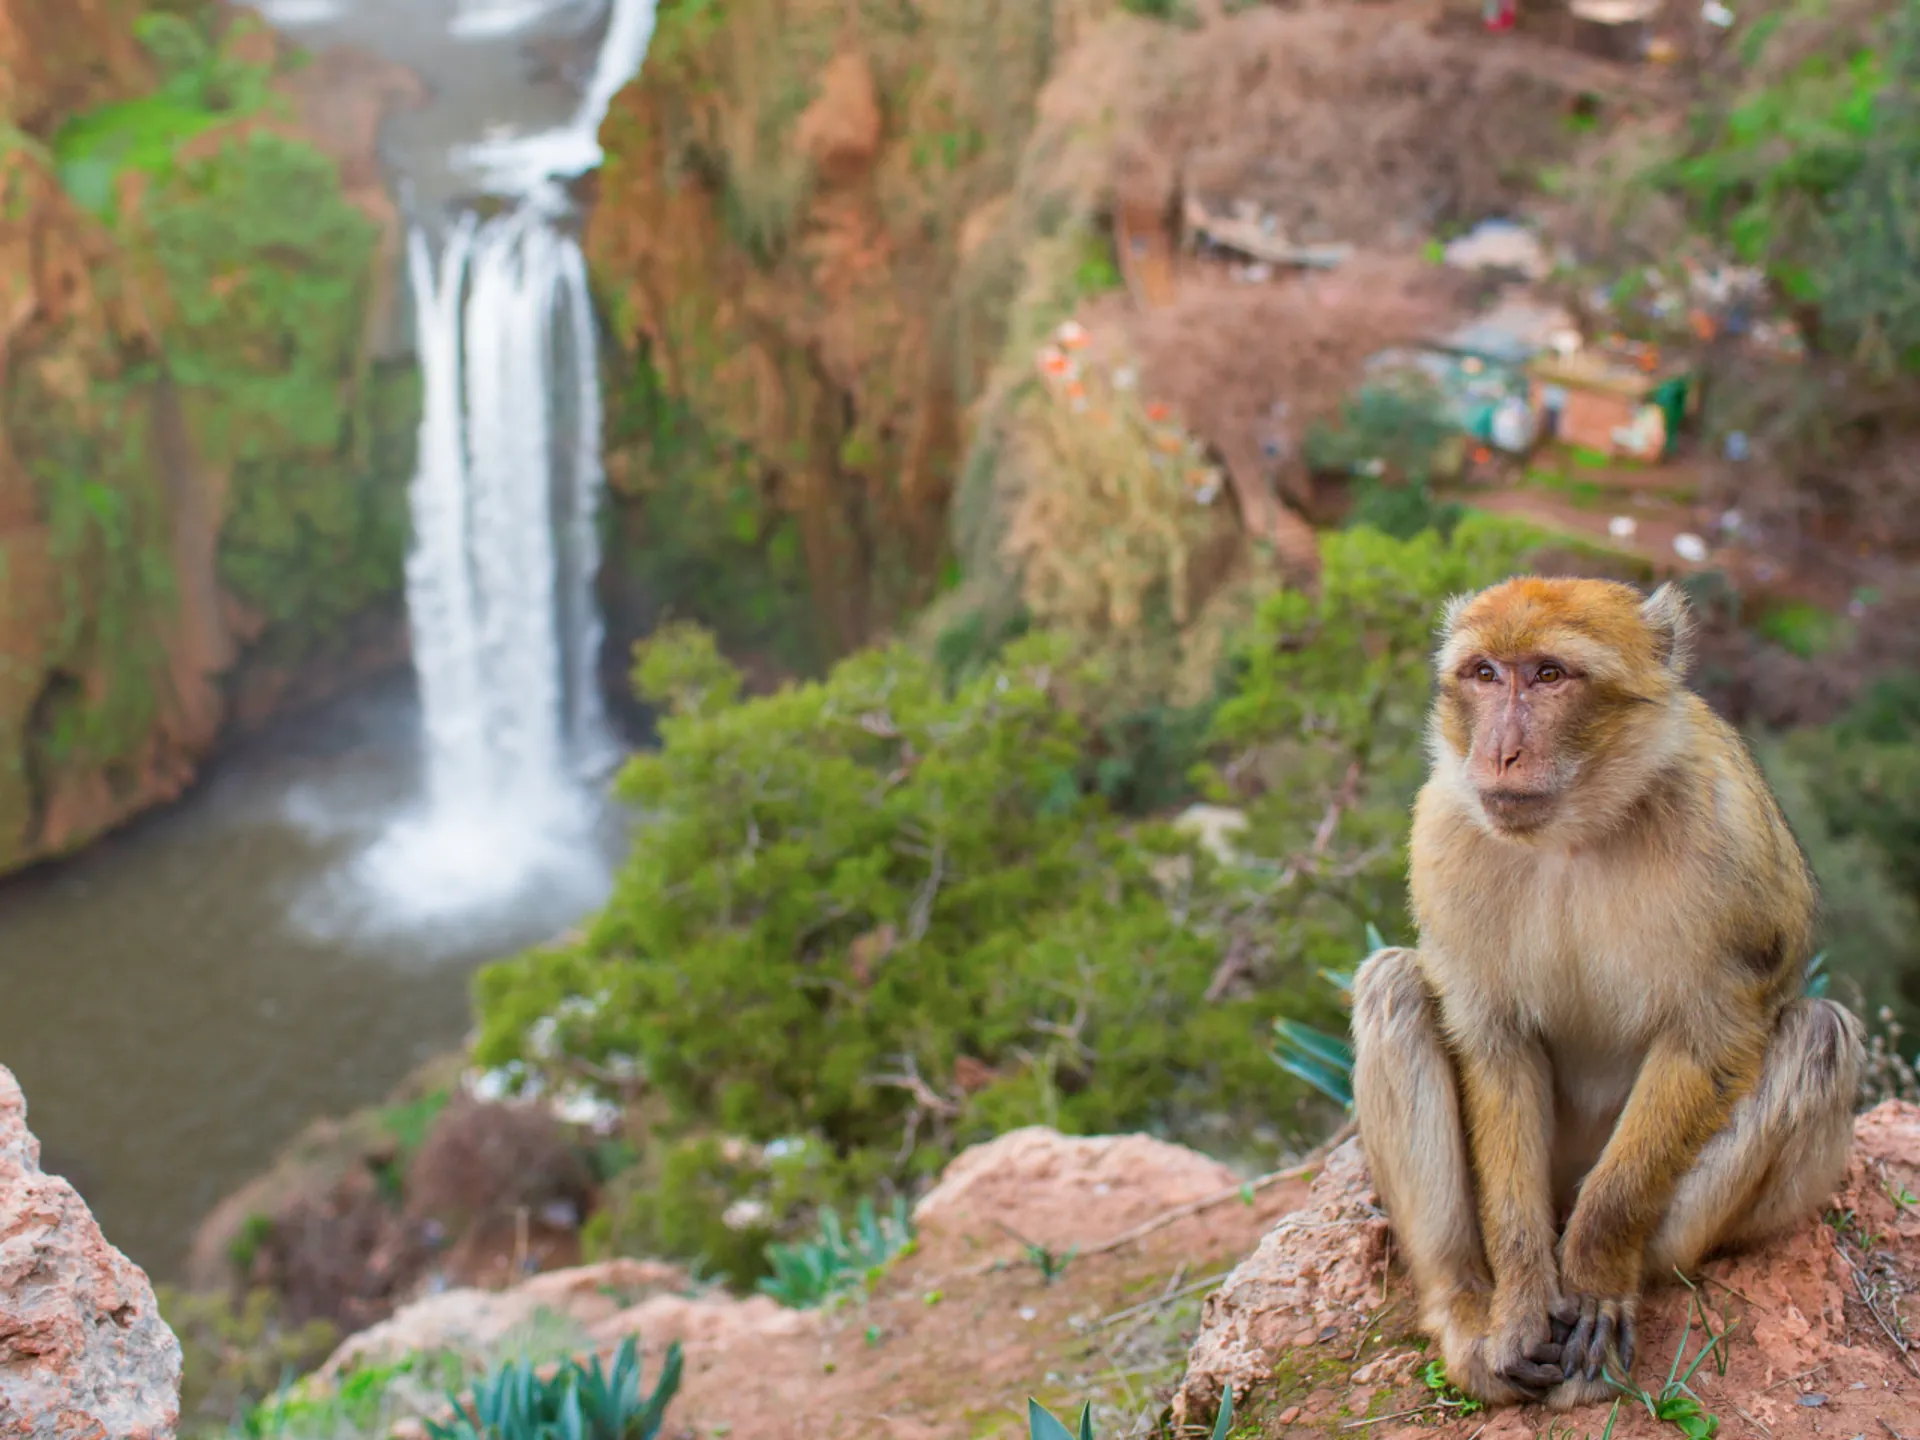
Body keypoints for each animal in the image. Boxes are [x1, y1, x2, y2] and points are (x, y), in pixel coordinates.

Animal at [1350, 576, 1863, 1411]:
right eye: (1485, 674)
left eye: (1550, 675)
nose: (1500, 751)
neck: (1574, 831)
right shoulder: (1442, 836)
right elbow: (1495, 1043)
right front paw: (1521, 1302)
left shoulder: (1727, 840)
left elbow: (1709, 1041)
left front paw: (1594, 1281)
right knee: (1392, 985)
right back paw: (1467, 1313)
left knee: (1819, 1034)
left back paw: (1617, 1290)